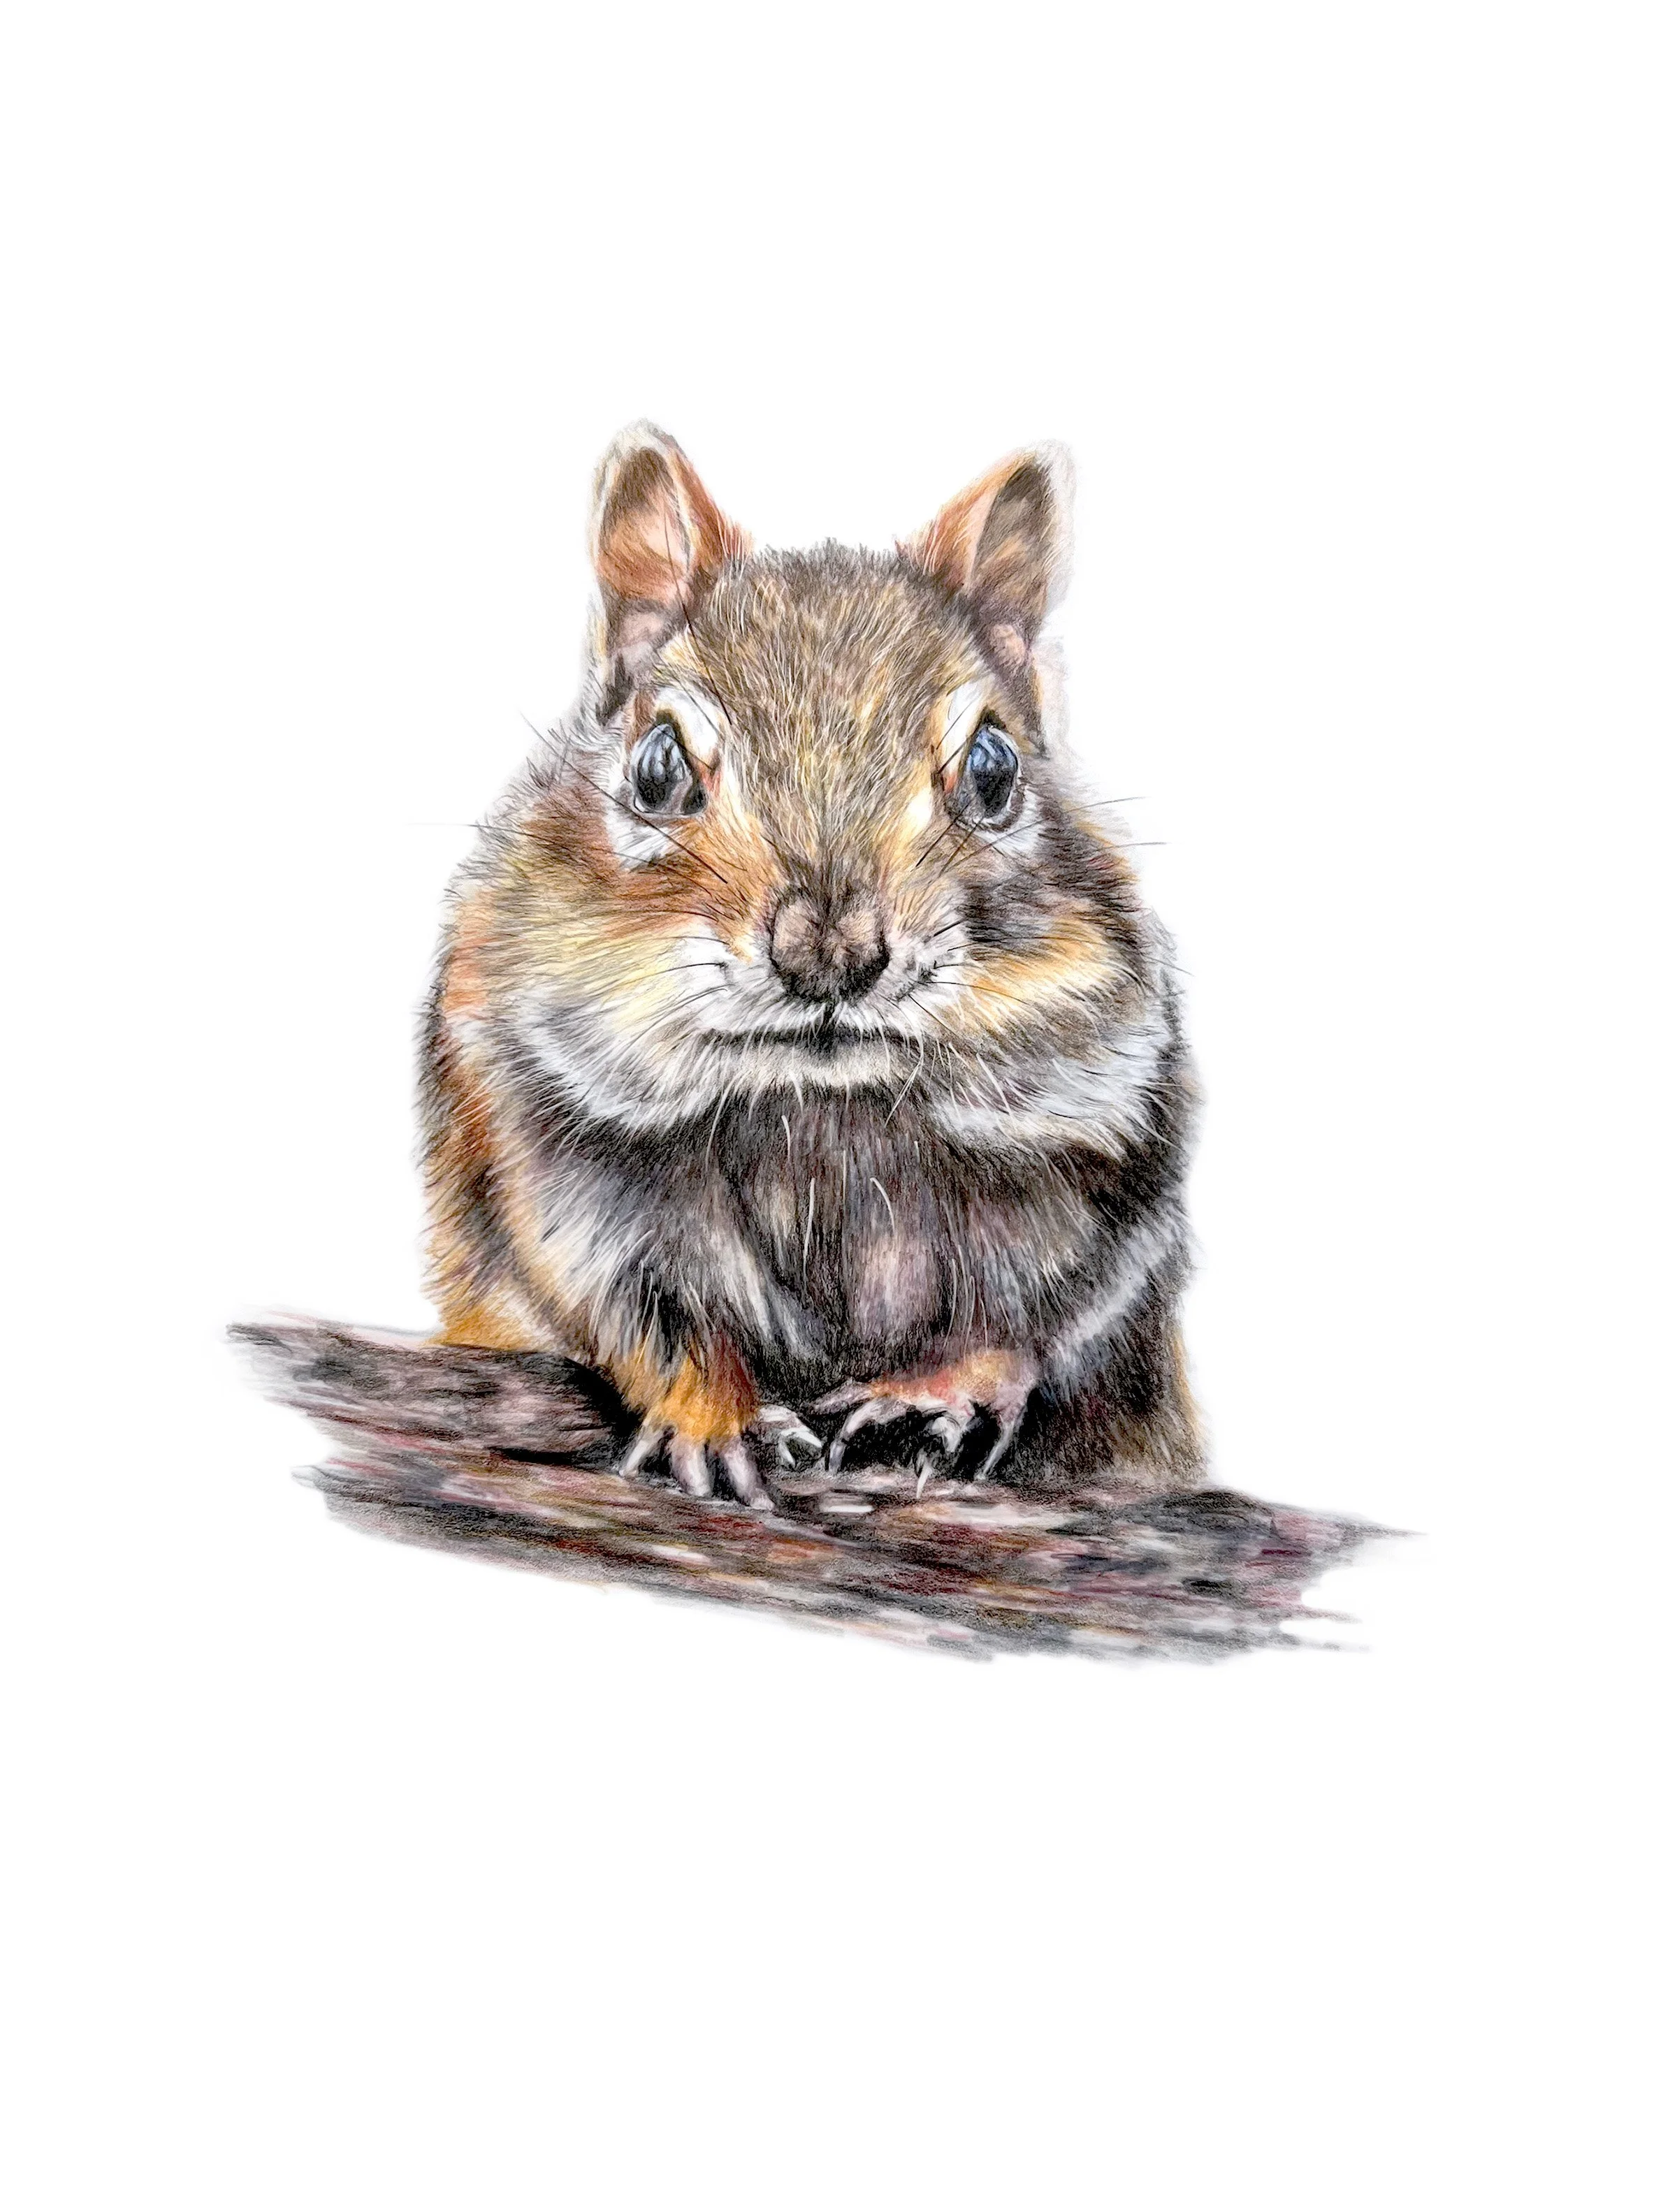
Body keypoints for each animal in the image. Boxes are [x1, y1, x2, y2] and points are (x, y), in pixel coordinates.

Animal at [419, 424, 1202, 1507]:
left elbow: (1056, 1308)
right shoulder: (539, 1136)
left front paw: (948, 1387)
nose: (829, 956)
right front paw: (715, 1409)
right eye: (655, 765)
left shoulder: (1124, 1135)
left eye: (995, 768)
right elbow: (638, 1306)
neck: (822, 1112)